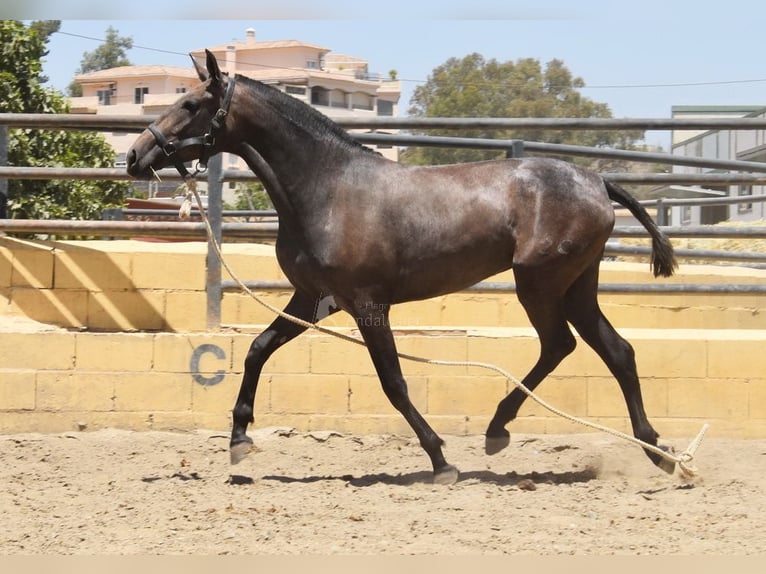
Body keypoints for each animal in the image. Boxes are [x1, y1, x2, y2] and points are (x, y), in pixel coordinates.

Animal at [129, 50, 680, 486]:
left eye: (191, 105)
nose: (135, 155)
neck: (327, 189)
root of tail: (597, 182)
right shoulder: (312, 300)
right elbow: (257, 351)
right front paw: (239, 440)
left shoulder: (368, 305)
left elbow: (393, 382)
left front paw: (441, 462)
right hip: (575, 286)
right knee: (615, 351)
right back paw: (656, 451)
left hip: (540, 284)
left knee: (562, 345)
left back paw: (500, 432)